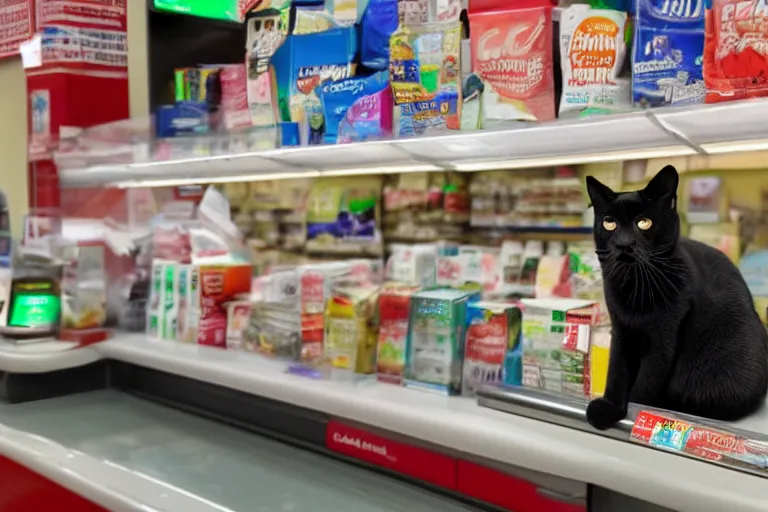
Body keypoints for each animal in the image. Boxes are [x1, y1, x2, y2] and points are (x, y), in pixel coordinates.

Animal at [584, 166, 764, 430]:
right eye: (609, 223)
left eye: (644, 222)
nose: (624, 244)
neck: (634, 288)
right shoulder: (621, 329)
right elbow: (617, 370)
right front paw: (609, 407)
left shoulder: (664, 336)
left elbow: (647, 382)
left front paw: (635, 412)